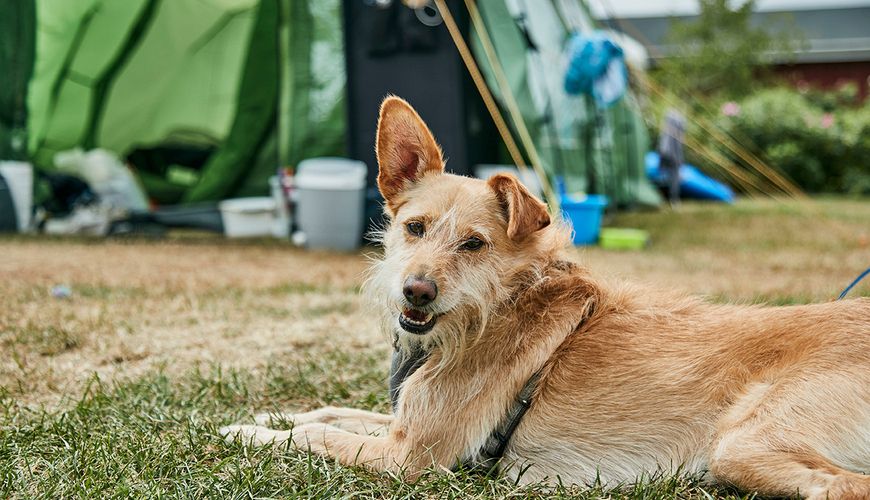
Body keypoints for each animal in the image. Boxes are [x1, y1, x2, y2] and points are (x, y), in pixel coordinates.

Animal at [225, 95, 870, 498]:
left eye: (474, 244)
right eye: (414, 228)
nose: (417, 291)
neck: (495, 307)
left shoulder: (409, 458)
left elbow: (316, 435)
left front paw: (251, 434)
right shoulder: (400, 424)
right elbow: (330, 412)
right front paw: (266, 417)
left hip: (744, 445)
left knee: (842, 486)